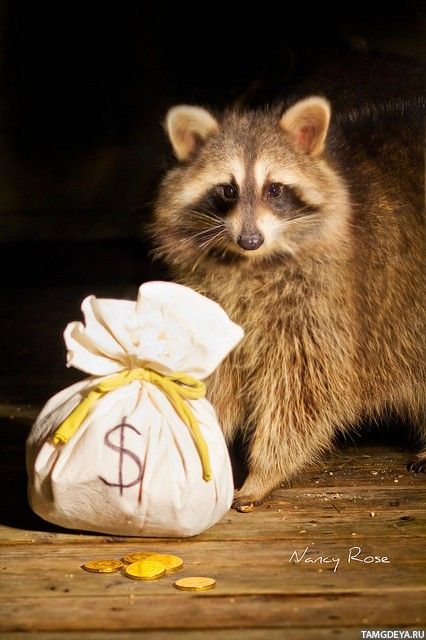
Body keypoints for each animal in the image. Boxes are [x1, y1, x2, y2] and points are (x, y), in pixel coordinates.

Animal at [150, 95, 426, 510]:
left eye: (275, 190)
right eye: (227, 190)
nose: (250, 240)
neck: (251, 263)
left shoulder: (326, 302)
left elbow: (308, 388)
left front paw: (264, 472)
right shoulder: (217, 297)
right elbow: (219, 372)